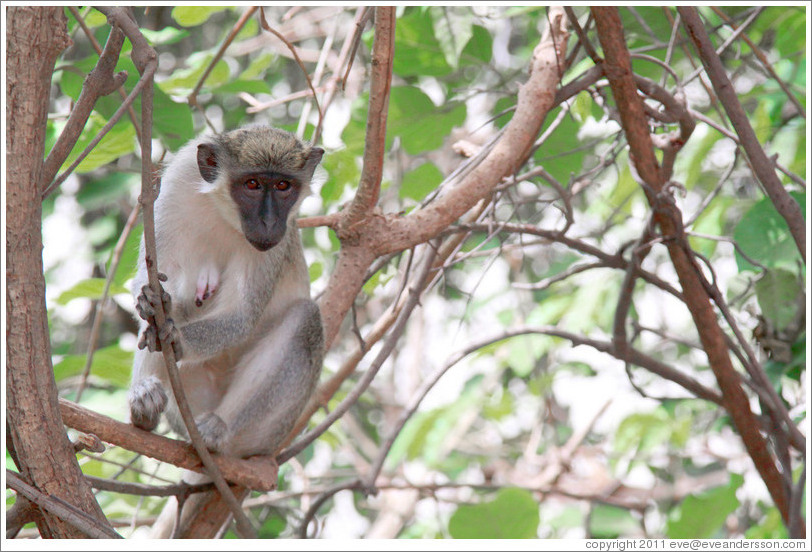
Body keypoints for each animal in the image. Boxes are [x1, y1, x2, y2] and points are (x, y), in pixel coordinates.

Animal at [127, 124, 324, 458]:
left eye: (283, 185)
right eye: (252, 184)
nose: (269, 222)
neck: (222, 212)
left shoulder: (276, 242)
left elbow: (241, 315)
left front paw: (176, 337)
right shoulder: (177, 186)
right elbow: (152, 276)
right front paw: (153, 302)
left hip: (267, 433)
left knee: (305, 319)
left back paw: (217, 430)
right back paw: (144, 405)